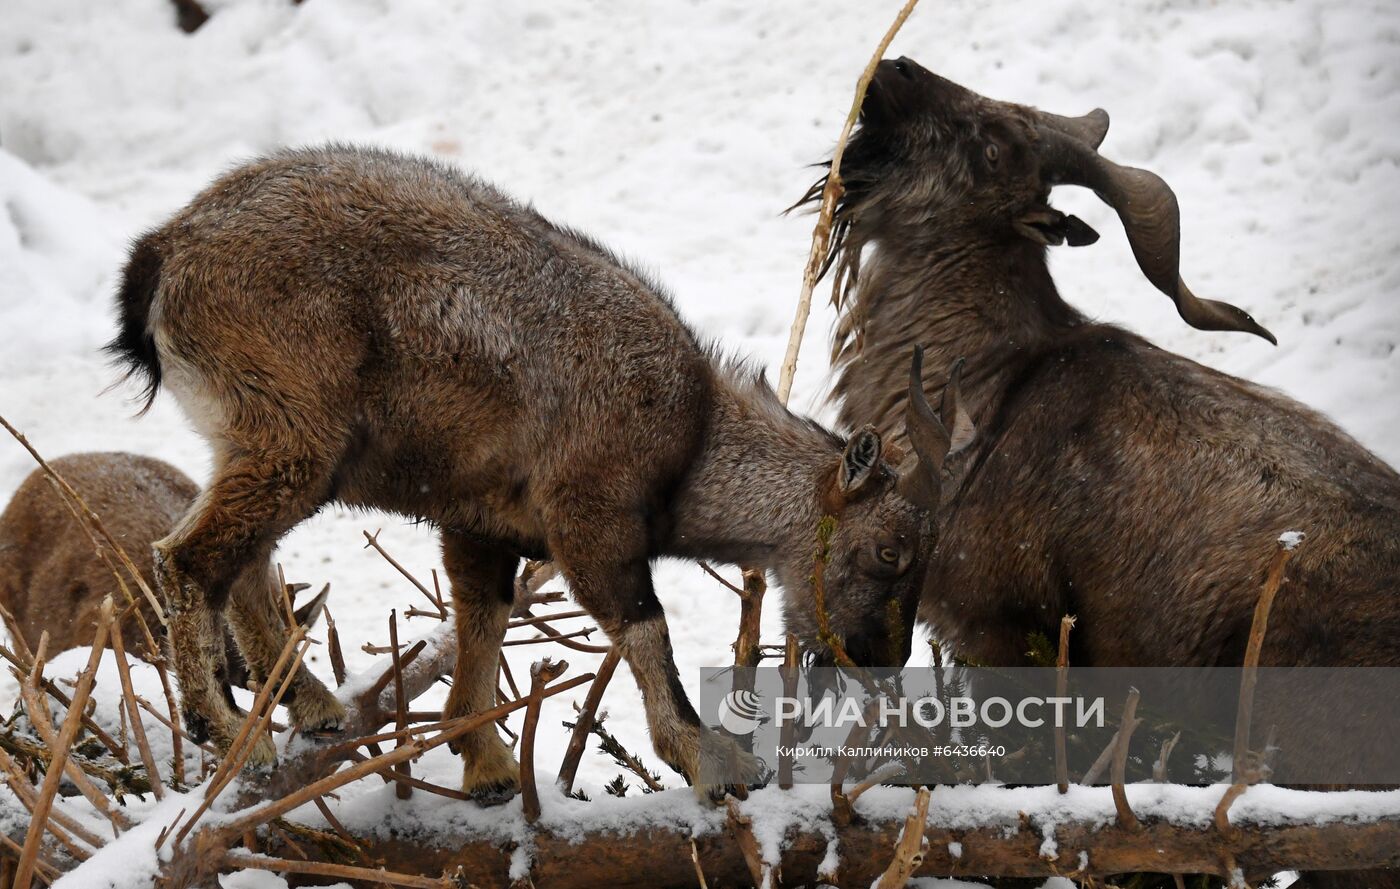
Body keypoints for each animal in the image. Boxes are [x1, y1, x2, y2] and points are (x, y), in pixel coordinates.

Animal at [109, 144, 963, 800]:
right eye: (890, 550)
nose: (880, 661)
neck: (690, 438)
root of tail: (167, 251)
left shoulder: (478, 519)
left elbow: (481, 618)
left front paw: (485, 766)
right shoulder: (590, 513)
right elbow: (644, 626)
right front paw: (710, 760)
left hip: (260, 444)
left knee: (244, 562)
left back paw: (315, 708)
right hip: (292, 437)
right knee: (188, 559)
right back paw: (226, 729)